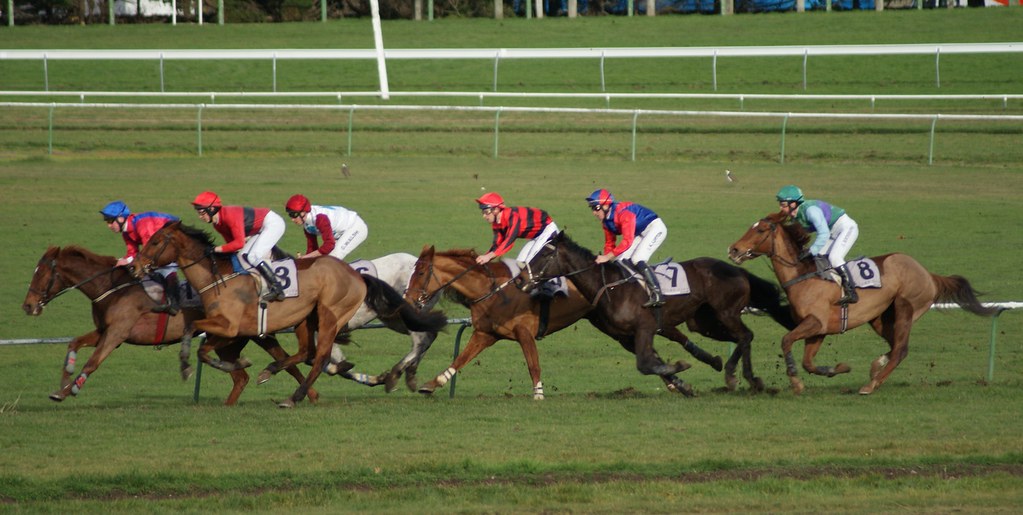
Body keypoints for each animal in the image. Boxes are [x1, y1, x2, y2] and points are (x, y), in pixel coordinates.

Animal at [21, 245, 317, 407]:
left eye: (42, 274)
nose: (28, 305)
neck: (113, 288)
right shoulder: (104, 331)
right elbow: (74, 343)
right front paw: (62, 385)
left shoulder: (117, 333)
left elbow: (93, 362)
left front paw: (71, 389)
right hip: (233, 341)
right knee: (244, 375)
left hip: (246, 336)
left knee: (280, 361)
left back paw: (306, 393)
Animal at [132, 222, 448, 407]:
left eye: (156, 242)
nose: (137, 266)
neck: (220, 278)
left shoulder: (236, 328)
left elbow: (321, 360)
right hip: (388, 316)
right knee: (425, 335)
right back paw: (403, 375)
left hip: (346, 316)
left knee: (418, 339)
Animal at [403, 245, 732, 399]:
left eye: (420, 272)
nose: (407, 300)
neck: (495, 290)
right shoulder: (485, 334)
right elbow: (460, 359)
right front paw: (432, 384)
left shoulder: (524, 332)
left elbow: (533, 364)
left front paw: (538, 393)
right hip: (613, 327)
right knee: (652, 351)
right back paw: (678, 382)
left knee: (673, 334)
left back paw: (710, 361)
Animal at [519, 230, 797, 395]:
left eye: (543, 254)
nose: (521, 278)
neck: (609, 287)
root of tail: (737, 269)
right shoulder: (626, 337)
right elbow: (652, 362)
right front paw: (682, 382)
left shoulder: (646, 327)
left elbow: (645, 364)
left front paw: (681, 368)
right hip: (703, 322)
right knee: (739, 338)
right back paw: (734, 371)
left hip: (726, 312)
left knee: (745, 336)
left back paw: (739, 376)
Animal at [728, 211, 998, 397]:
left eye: (761, 230)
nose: (734, 249)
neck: (804, 276)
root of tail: (928, 273)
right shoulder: (818, 330)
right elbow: (809, 362)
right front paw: (837, 369)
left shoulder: (815, 323)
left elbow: (786, 342)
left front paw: (795, 381)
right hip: (880, 317)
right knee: (896, 345)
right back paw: (876, 367)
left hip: (906, 307)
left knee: (901, 349)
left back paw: (871, 384)